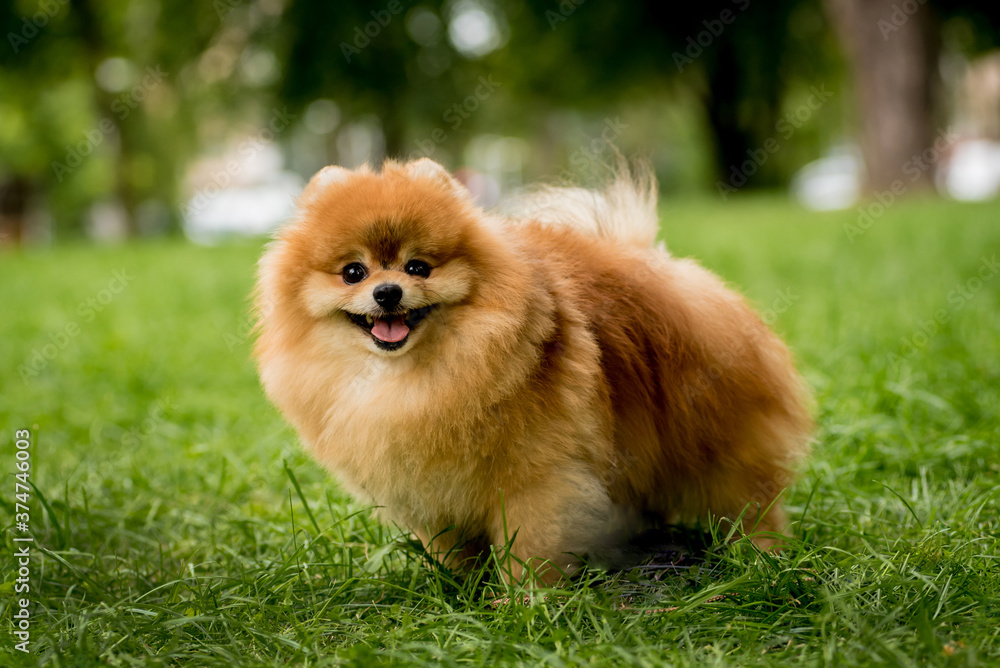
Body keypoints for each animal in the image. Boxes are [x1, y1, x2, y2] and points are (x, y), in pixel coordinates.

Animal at [252, 158, 812, 584]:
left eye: (418, 268)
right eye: (353, 272)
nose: (387, 292)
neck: (418, 378)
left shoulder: (538, 480)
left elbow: (527, 548)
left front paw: (522, 602)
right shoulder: (428, 493)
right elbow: (451, 550)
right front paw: (457, 590)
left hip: (716, 441)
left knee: (749, 497)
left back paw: (761, 554)